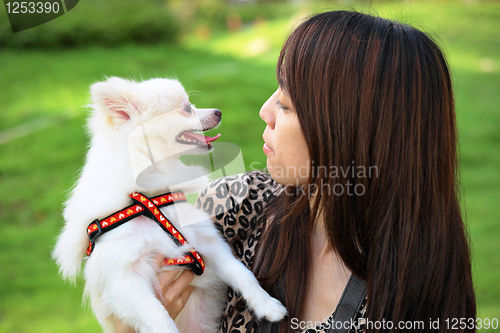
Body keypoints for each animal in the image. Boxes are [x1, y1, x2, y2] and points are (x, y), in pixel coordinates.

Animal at [52, 76, 288, 330]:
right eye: (187, 108)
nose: (218, 112)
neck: (149, 202)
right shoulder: (124, 279)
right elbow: (158, 317)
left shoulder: (205, 243)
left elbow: (240, 272)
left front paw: (267, 305)